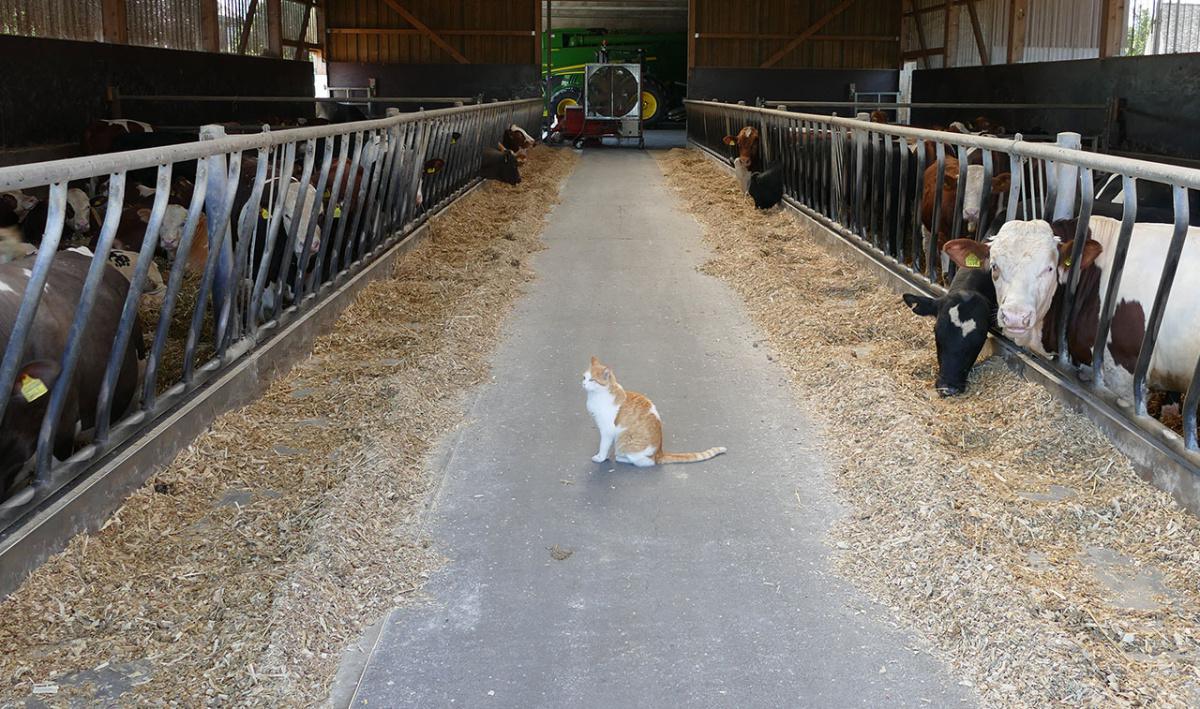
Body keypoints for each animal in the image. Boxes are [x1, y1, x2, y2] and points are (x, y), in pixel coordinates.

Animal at [578, 357, 724, 467]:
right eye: (584, 377)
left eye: (592, 380)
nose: (583, 384)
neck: (596, 396)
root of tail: (660, 452)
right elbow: (606, 446)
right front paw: (606, 456)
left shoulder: (607, 430)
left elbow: (603, 445)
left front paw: (600, 457)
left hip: (625, 441)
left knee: (646, 462)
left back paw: (621, 457)